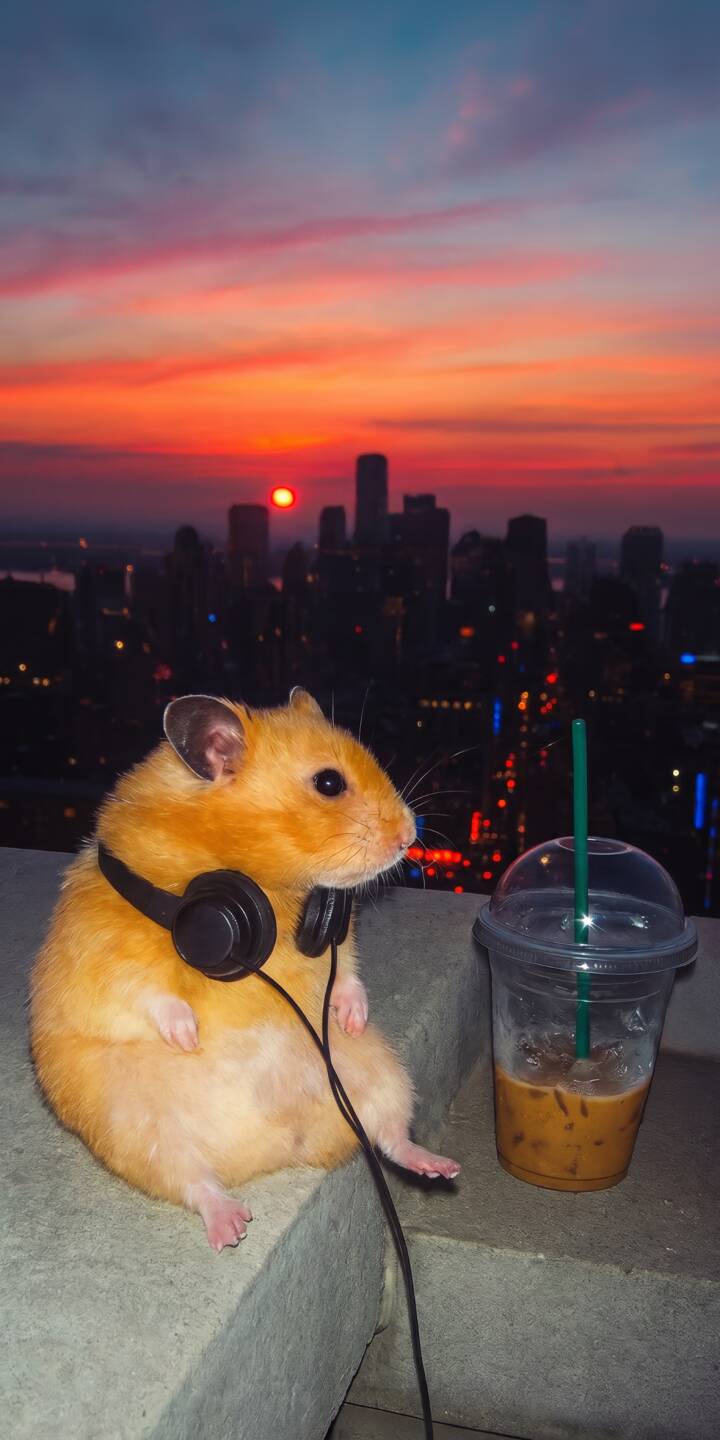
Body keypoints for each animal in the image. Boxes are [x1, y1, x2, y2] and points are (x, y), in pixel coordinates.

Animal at [30, 688, 459, 1250]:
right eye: (329, 783)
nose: (409, 836)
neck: (260, 885)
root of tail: (273, 1150)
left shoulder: (336, 938)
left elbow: (346, 971)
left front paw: (351, 1014)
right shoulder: (103, 947)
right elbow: (147, 988)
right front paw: (187, 1036)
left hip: (376, 1069)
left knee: (390, 1135)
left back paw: (440, 1165)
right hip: (135, 1125)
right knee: (194, 1182)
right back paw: (230, 1227)